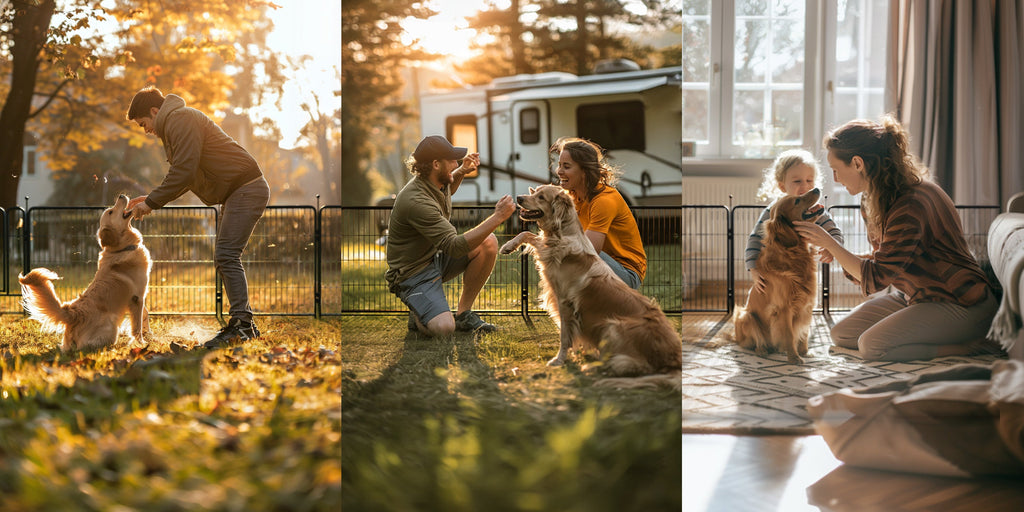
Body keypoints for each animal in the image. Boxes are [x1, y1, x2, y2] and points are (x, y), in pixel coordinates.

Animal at [19, 193, 151, 350]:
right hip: (111, 326)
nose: (121, 195)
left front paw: (149, 335)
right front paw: (141, 342)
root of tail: (74, 314)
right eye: (111, 212)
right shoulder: (137, 297)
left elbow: (145, 315)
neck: (122, 249)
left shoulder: (140, 297)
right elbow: (137, 325)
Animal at [501, 184, 684, 387]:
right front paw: (508, 246)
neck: (561, 235)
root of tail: (675, 360)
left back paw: (596, 367)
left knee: (635, 366)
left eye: (541, 197)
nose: (519, 198)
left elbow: (565, 335)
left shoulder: (564, 301)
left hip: (612, 326)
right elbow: (527, 233)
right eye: (534, 192)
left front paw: (559, 359)